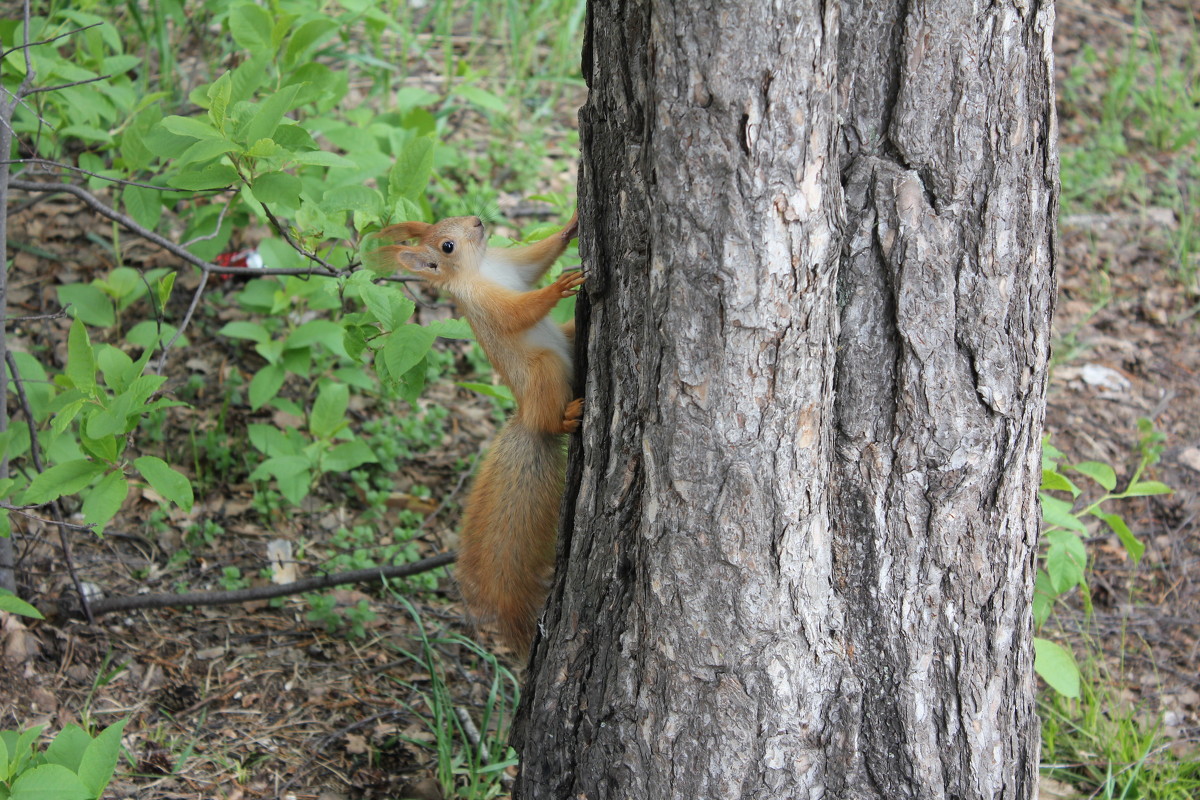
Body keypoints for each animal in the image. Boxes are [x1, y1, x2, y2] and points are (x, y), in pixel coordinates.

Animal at [372, 212, 583, 657]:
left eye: (447, 222)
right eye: (447, 246)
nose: (477, 221)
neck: (483, 268)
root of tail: (528, 416)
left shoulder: (512, 265)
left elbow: (536, 260)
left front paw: (570, 225)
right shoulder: (485, 306)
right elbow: (519, 312)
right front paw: (557, 287)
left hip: (568, 337)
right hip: (544, 371)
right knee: (549, 417)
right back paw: (566, 417)